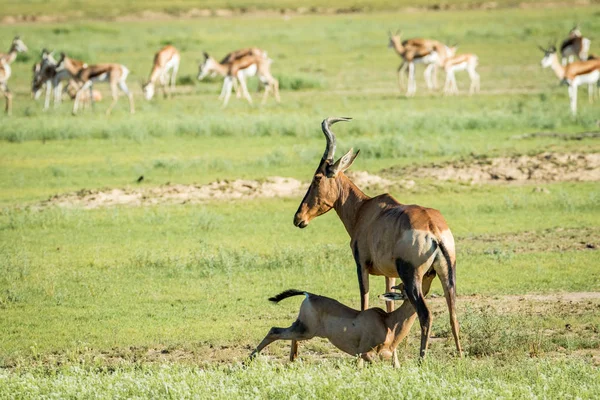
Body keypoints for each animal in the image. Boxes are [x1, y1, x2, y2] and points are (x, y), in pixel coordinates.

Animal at [248, 268, 436, 366]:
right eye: (405, 287)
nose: (431, 272)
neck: (388, 322)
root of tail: (309, 295)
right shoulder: (363, 353)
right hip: (305, 331)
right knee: (275, 331)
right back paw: (247, 361)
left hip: (302, 330)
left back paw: (292, 359)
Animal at [292, 117, 462, 358]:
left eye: (317, 177)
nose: (298, 218)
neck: (366, 209)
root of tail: (433, 230)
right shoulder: (388, 274)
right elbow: (389, 304)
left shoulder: (361, 265)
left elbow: (364, 302)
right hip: (447, 273)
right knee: (453, 312)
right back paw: (460, 355)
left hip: (412, 277)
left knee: (425, 314)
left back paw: (422, 358)